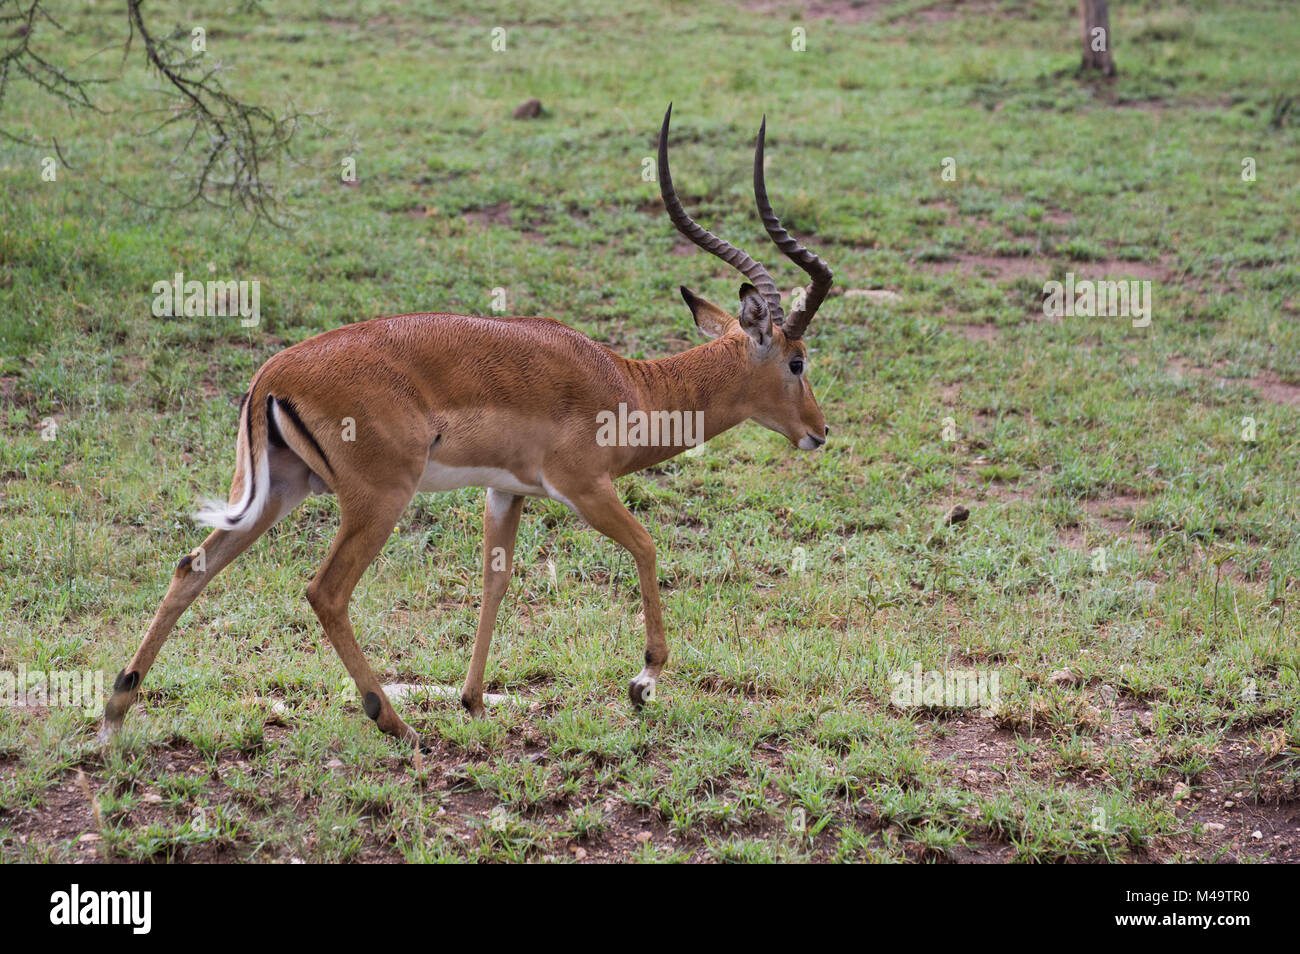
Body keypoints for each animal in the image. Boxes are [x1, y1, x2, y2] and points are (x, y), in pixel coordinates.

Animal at [98, 104, 832, 748]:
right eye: (796, 360)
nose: (819, 433)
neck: (630, 386)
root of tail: (274, 373)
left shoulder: (504, 492)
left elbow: (494, 579)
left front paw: (473, 699)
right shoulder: (585, 488)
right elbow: (648, 547)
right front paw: (643, 681)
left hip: (278, 492)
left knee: (190, 567)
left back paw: (113, 716)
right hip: (376, 501)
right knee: (324, 591)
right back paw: (393, 722)